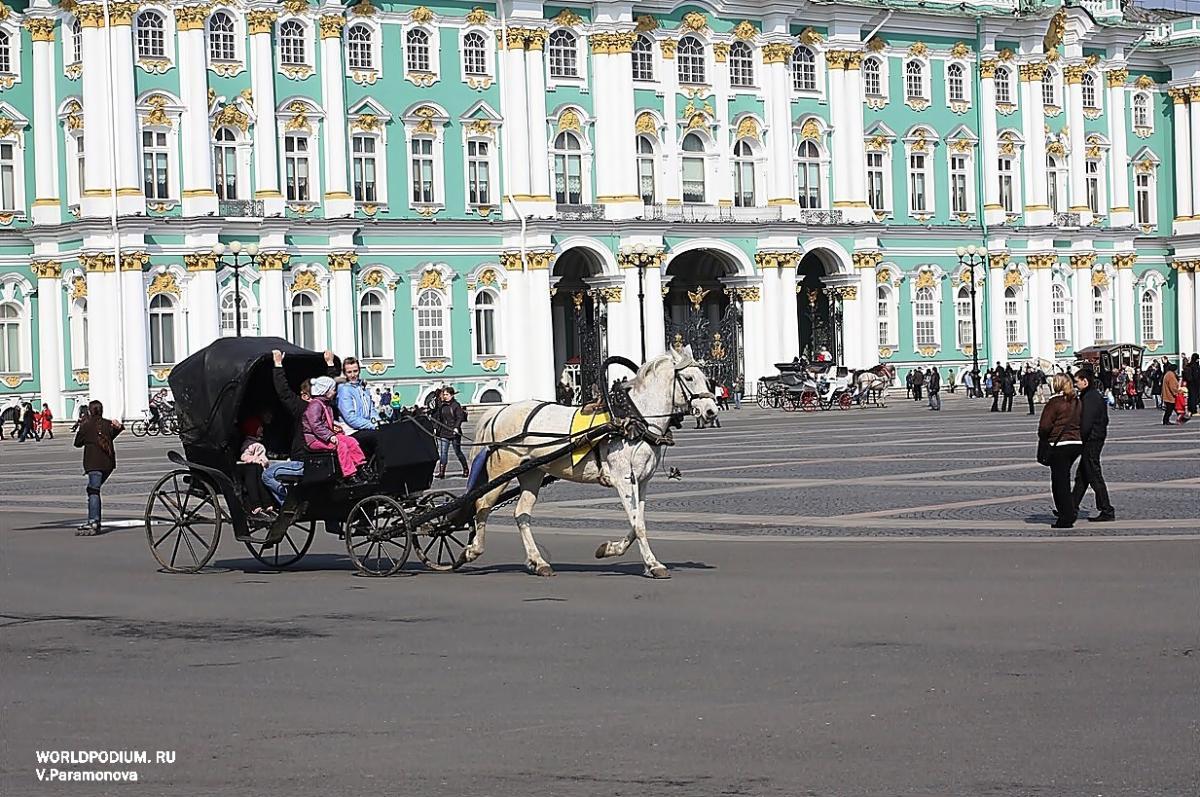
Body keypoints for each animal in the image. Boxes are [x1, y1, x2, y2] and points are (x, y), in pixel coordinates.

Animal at [463, 345, 715, 576]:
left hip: (532, 474)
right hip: (501, 472)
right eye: (689, 378)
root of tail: (498, 412)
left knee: (521, 514)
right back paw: (472, 551)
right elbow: (638, 524)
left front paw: (609, 549)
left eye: (706, 378)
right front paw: (654, 565)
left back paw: (539, 562)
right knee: (482, 505)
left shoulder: (642, 481)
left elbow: (637, 522)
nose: (711, 410)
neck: (633, 418)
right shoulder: (623, 479)